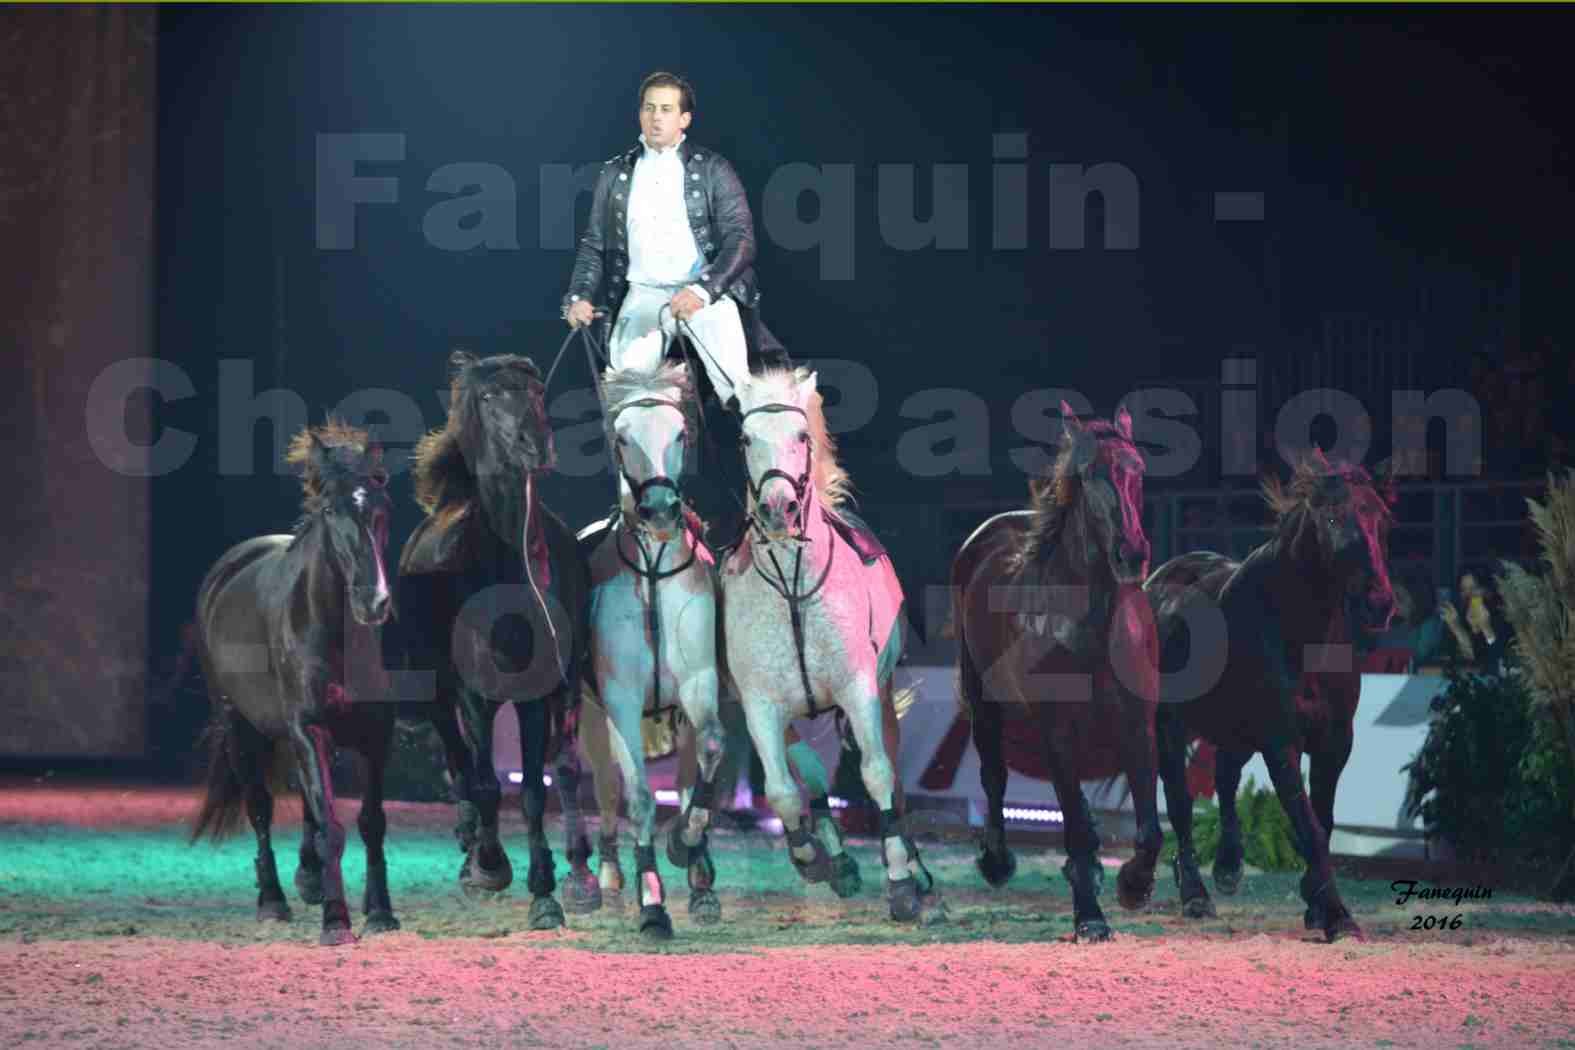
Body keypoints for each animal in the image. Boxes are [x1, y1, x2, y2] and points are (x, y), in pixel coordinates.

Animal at [192, 421, 400, 950]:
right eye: (330, 510)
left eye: (381, 506)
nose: (374, 601)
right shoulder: (309, 728)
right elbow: (331, 826)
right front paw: (336, 922)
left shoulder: (375, 735)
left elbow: (370, 823)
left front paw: (380, 912)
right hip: (239, 728)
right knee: (261, 809)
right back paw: (273, 900)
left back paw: (308, 880)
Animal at [393, 351, 592, 925]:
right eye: (487, 396)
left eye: (537, 392)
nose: (535, 443)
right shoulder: (473, 697)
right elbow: (483, 783)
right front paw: (490, 867)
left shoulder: (538, 695)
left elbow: (534, 791)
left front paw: (546, 891)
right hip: (443, 700)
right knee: (461, 767)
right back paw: (472, 846)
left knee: (557, 770)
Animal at [721, 365, 938, 925]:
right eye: (745, 438)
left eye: (802, 436)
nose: (778, 510)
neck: (794, 584)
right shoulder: (761, 705)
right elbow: (782, 791)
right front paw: (814, 860)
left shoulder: (858, 689)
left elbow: (878, 775)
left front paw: (902, 885)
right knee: (813, 775)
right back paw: (837, 859)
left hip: (879, 695)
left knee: (890, 775)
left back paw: (917, 871)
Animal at [1140, 453, 1398, 944]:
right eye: (1331, 518)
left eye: (1380, 516)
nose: (1379, 602)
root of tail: (1155, 583)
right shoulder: (1281, 742)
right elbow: (1307, 825)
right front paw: (1337, 916)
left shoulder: (1336, 742)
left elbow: (1323, 821)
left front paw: (1315, 903)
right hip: (1168, 729)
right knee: (1181, 803)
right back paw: (1195, 893)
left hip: (1234, 731)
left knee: (1224, 778)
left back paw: (1228, 868)